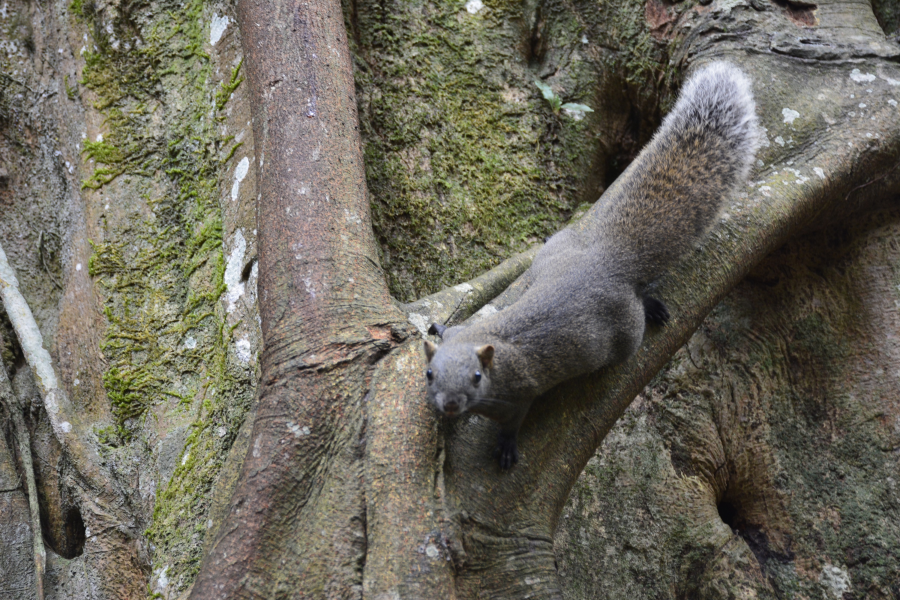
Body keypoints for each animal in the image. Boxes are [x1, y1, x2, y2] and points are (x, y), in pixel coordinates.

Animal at [422, 63, 760, 472]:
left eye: (475, 377)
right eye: (429, 373)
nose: (450, 405)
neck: (488, 350)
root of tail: (607, 262)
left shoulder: (519, 395)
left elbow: (513, 423)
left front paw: (506, 448)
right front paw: (440, 328)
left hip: (626, 332)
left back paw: (651, 308)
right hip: (552, 255)